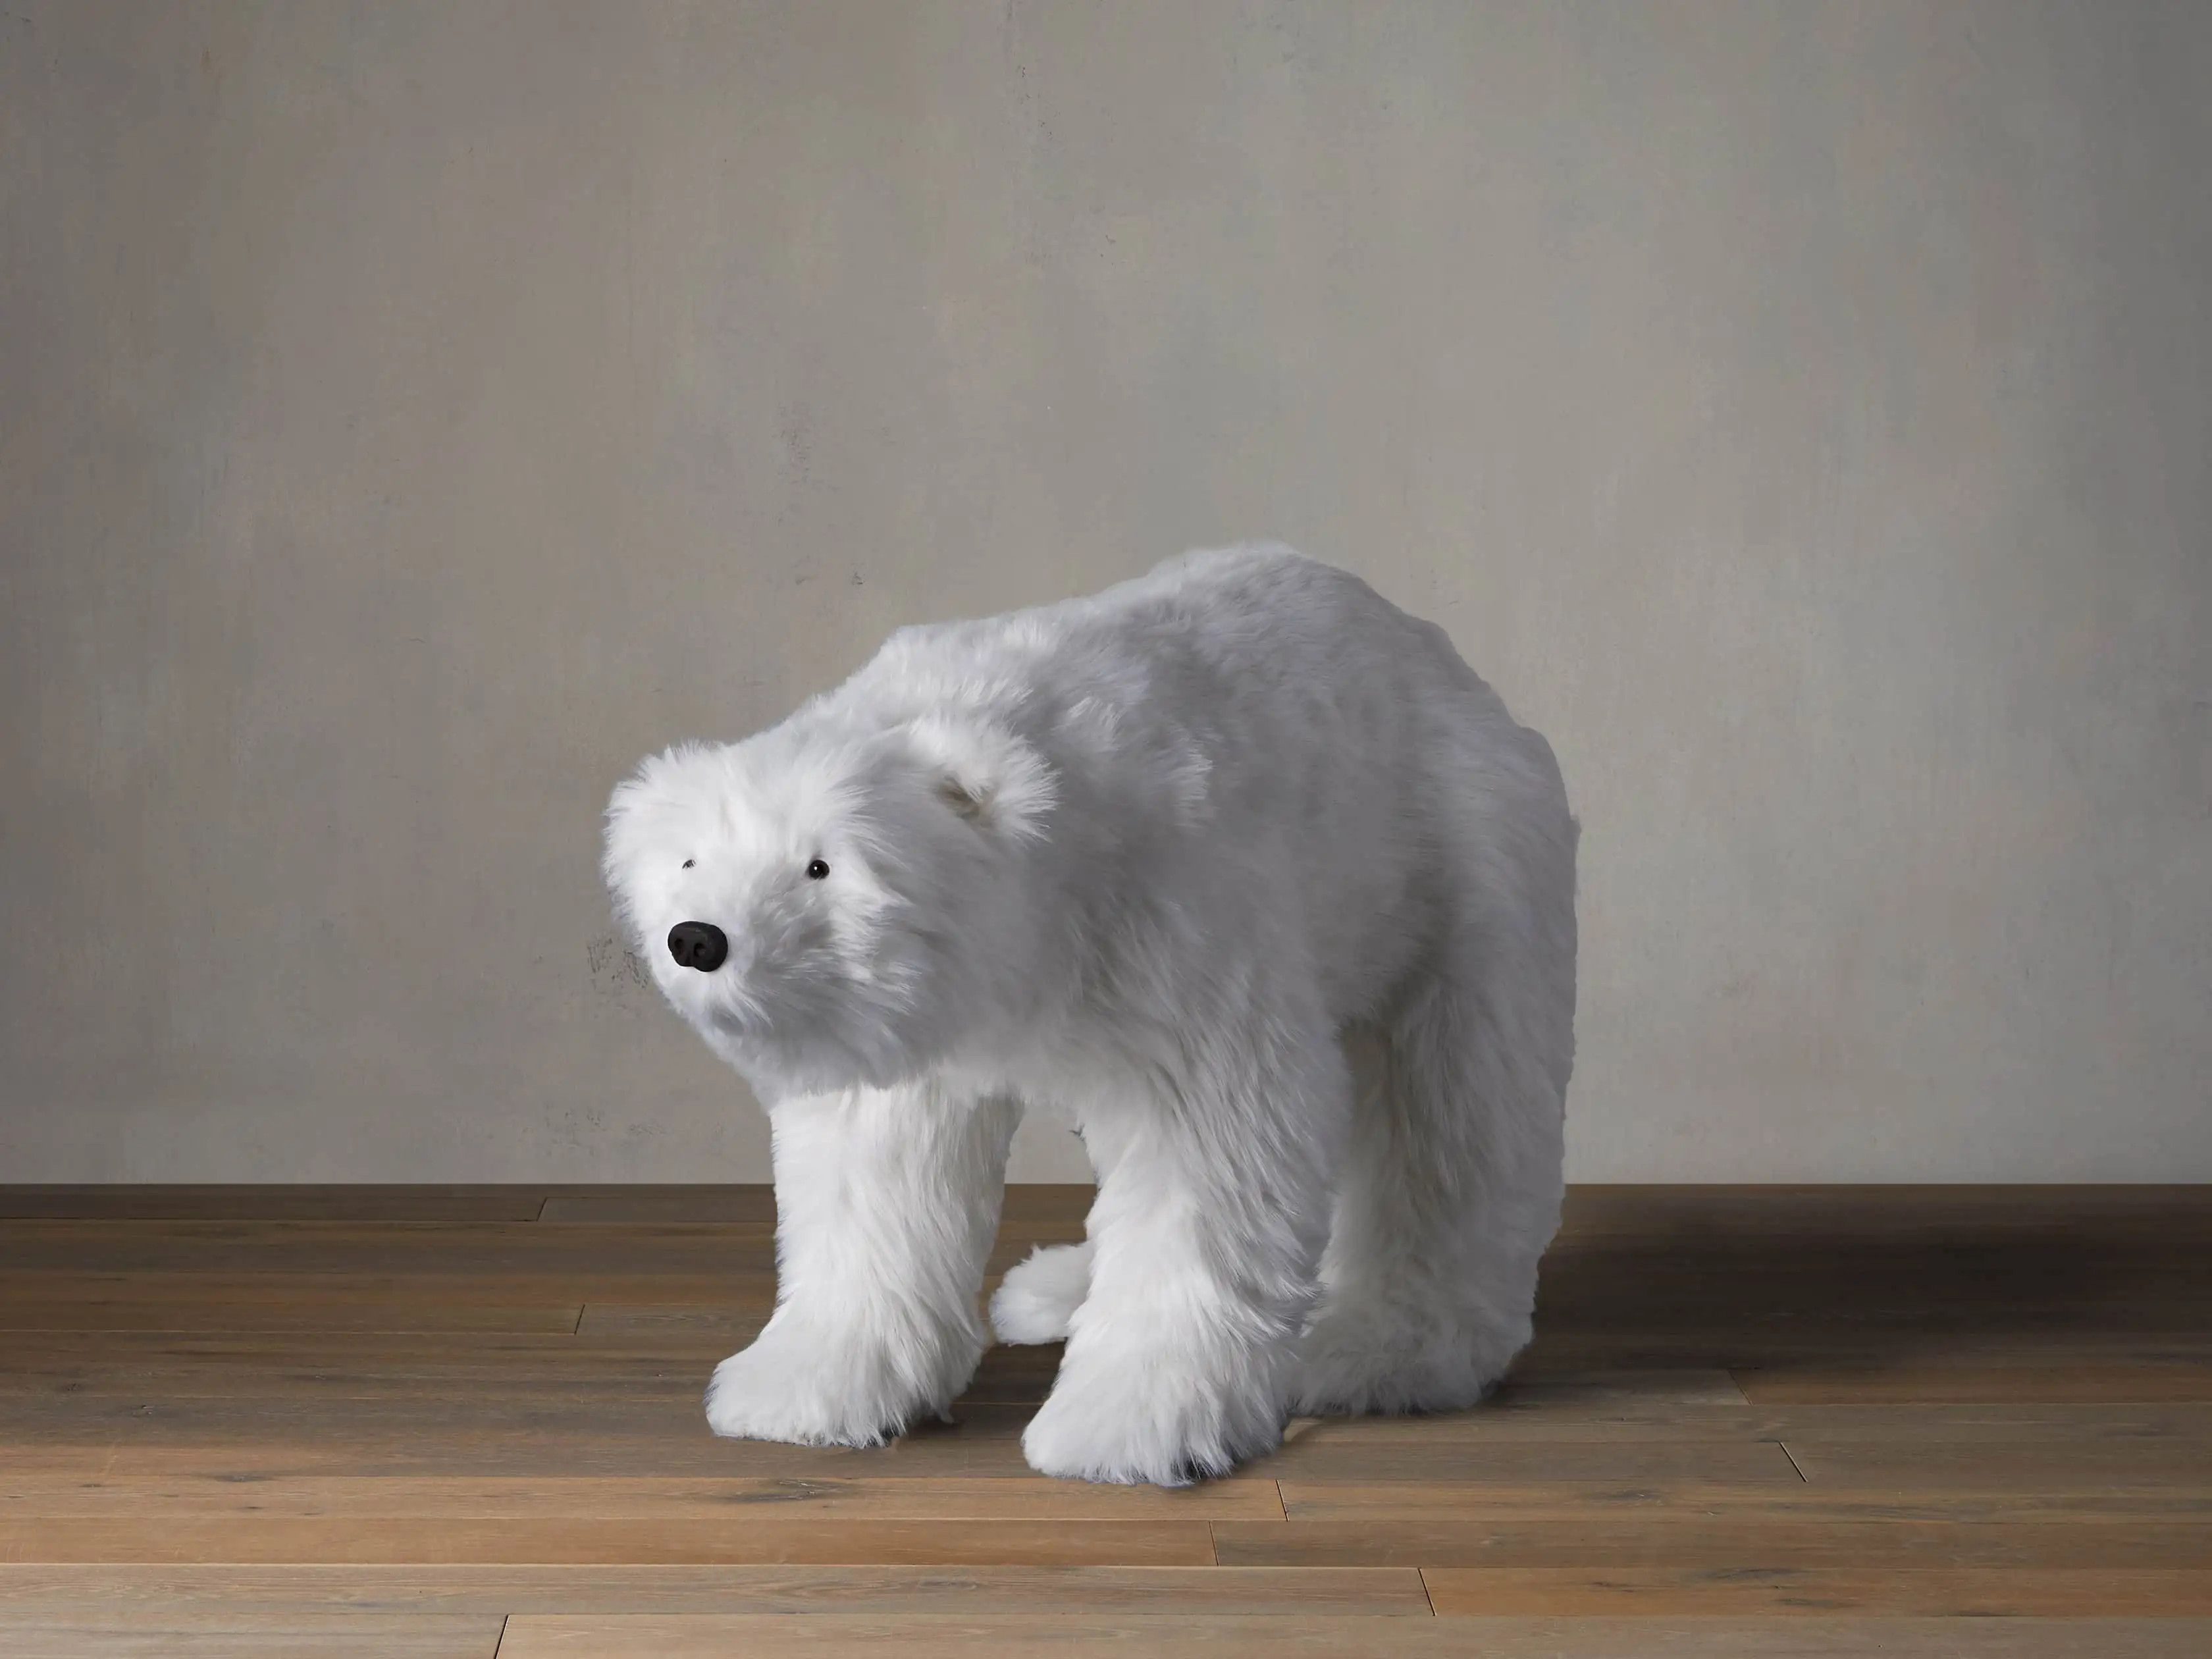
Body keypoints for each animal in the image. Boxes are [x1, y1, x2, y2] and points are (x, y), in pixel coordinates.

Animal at [602, 544, 1577, 1485]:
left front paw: (1129, 1430)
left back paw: (1375, 1351)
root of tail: (1443, 659)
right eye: (689, 860)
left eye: (821, 865)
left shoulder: (1172, 920)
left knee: (1451, 1112)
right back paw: (1053, 1291)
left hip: (1453, 867)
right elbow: (875, 1171)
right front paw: (799, 1389)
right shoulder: (919, 1033)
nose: (698, 939)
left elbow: (1211, 1145)